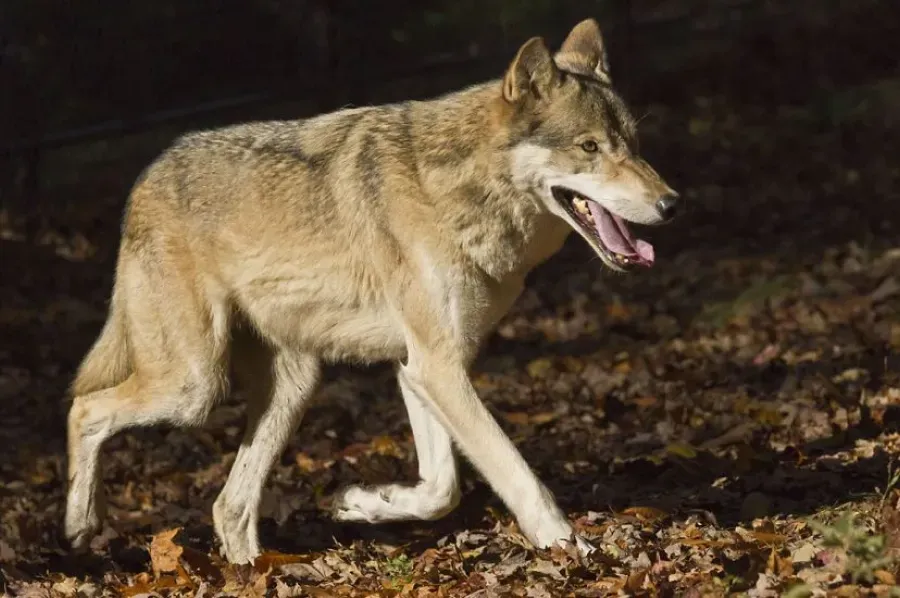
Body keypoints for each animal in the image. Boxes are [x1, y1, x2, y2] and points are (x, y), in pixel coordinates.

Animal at [64, 18, 679, 564]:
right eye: (589, 147)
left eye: (634, 144)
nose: (671, 204)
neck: (461, 190)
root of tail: (145, 178)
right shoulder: (436, 368)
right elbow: (517, 475)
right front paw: (573, 550)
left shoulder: (422, 366)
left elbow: (441, 489)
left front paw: (363, 502)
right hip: (194, 387)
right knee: (84, 406)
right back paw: (79, 522)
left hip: (291, 387)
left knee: (228, 508)